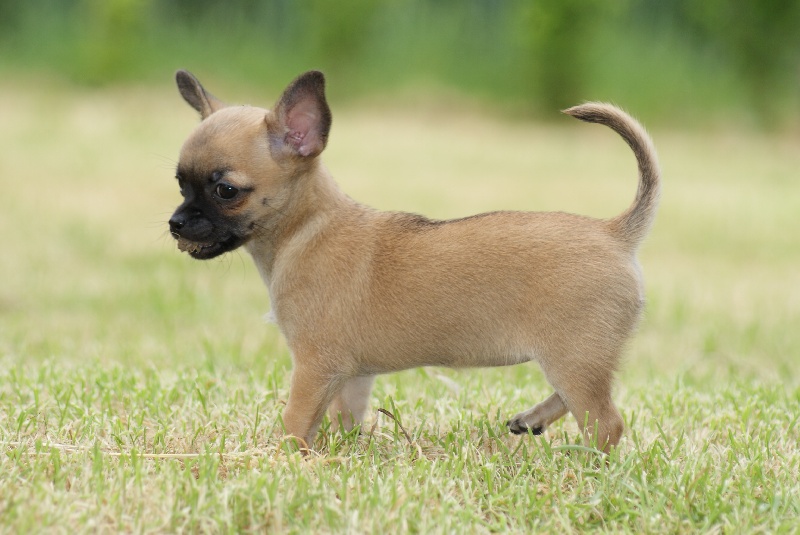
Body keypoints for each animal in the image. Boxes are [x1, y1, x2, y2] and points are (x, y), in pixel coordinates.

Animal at [169, 69, 660, 453]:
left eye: (225, 191)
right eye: (180, 184)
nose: (176, 223)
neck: (306, 229)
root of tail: (614, 232)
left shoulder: (313, 367)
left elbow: (294, 422)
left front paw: (282, 460)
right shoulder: (350, 376)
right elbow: (342, 419)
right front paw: (339, 452)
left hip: (573, 359)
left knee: (606, 424)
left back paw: (587, 465)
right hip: (577, 359)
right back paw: (533, 419)